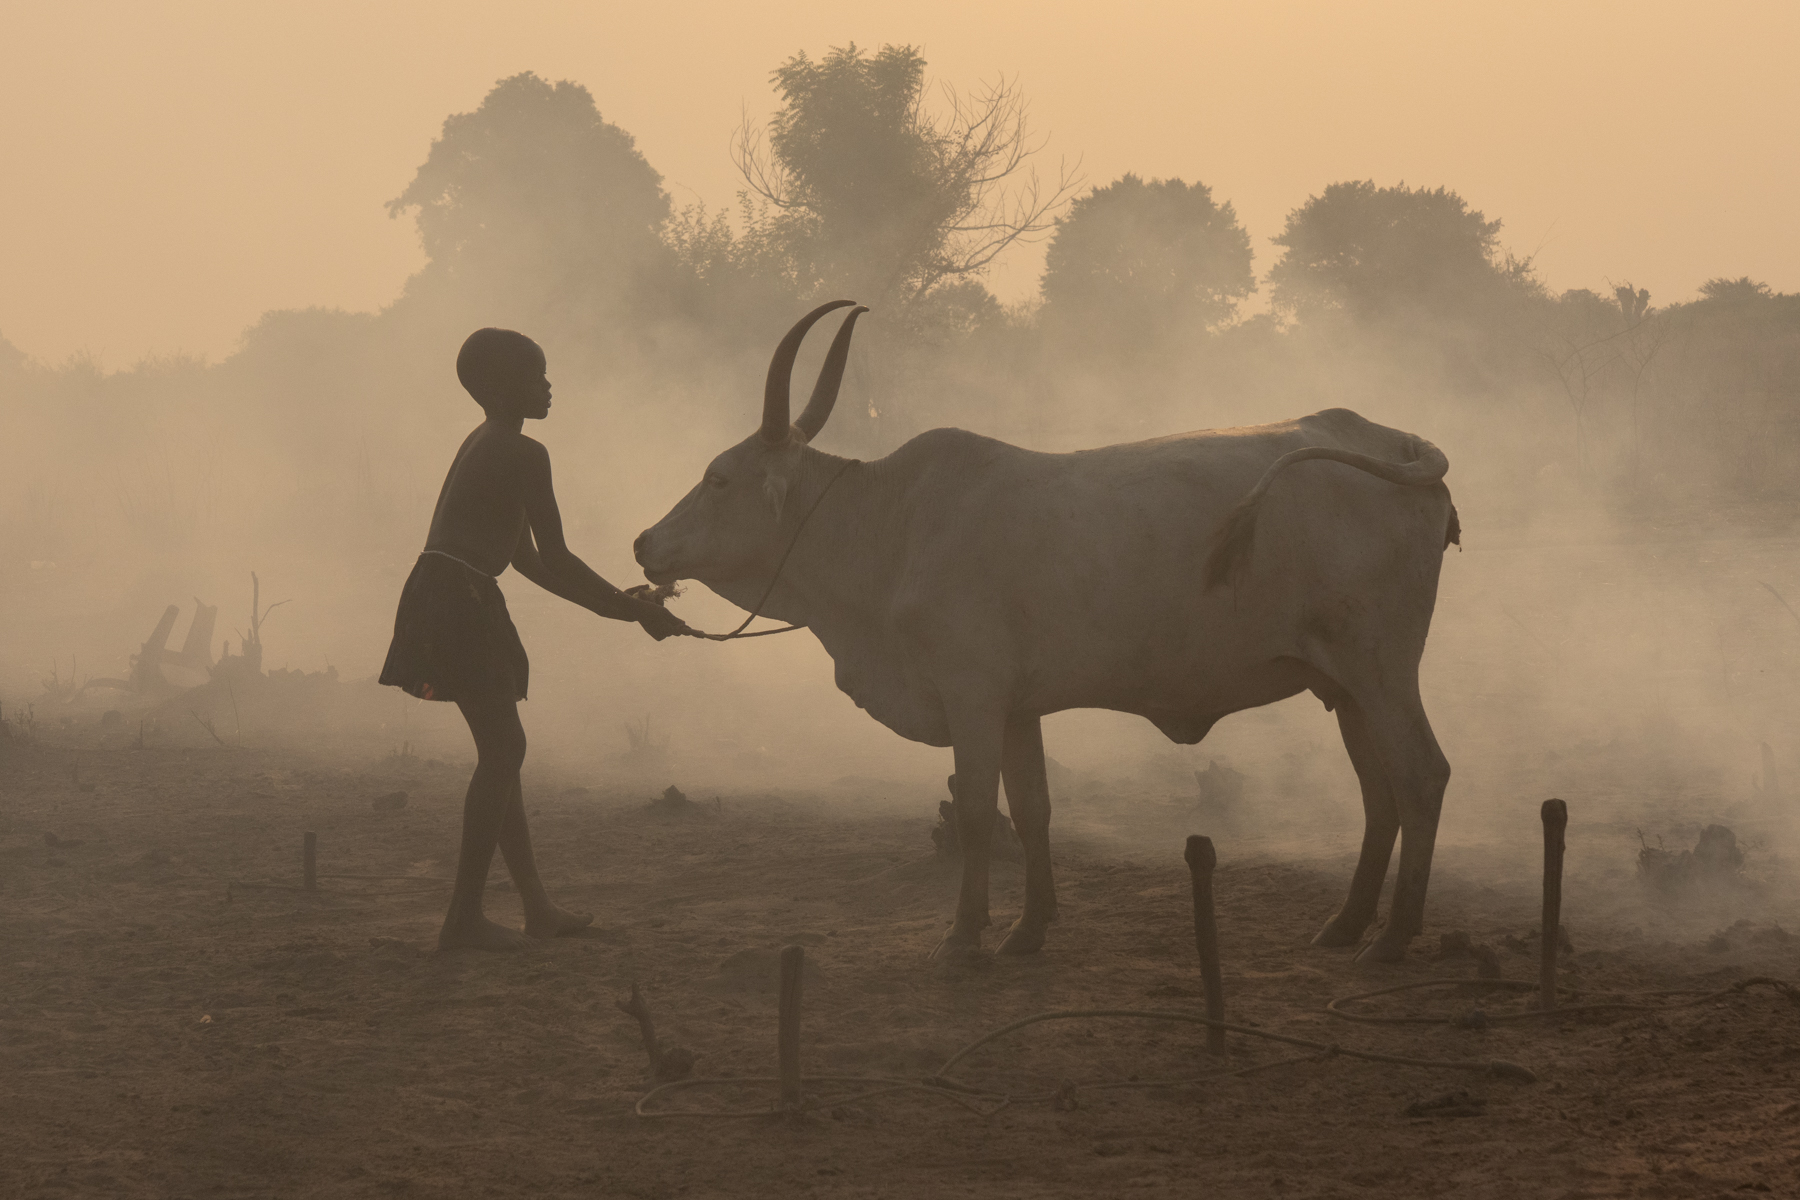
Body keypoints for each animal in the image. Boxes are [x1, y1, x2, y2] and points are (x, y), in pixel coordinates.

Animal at [635, 302, 1459, 963]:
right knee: (1379, 794)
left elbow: (976, 812)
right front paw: (1028, 929)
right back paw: (1346, 924)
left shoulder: (971, 696)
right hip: (1345, 688)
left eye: (717, 477)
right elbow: (1032, 810)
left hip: (1382, 671)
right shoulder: (1017, 708)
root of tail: (1395, 443)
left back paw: (1391, 938)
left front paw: (963, 937)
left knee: (1421, 777)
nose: (645, 543)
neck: (890, 527)